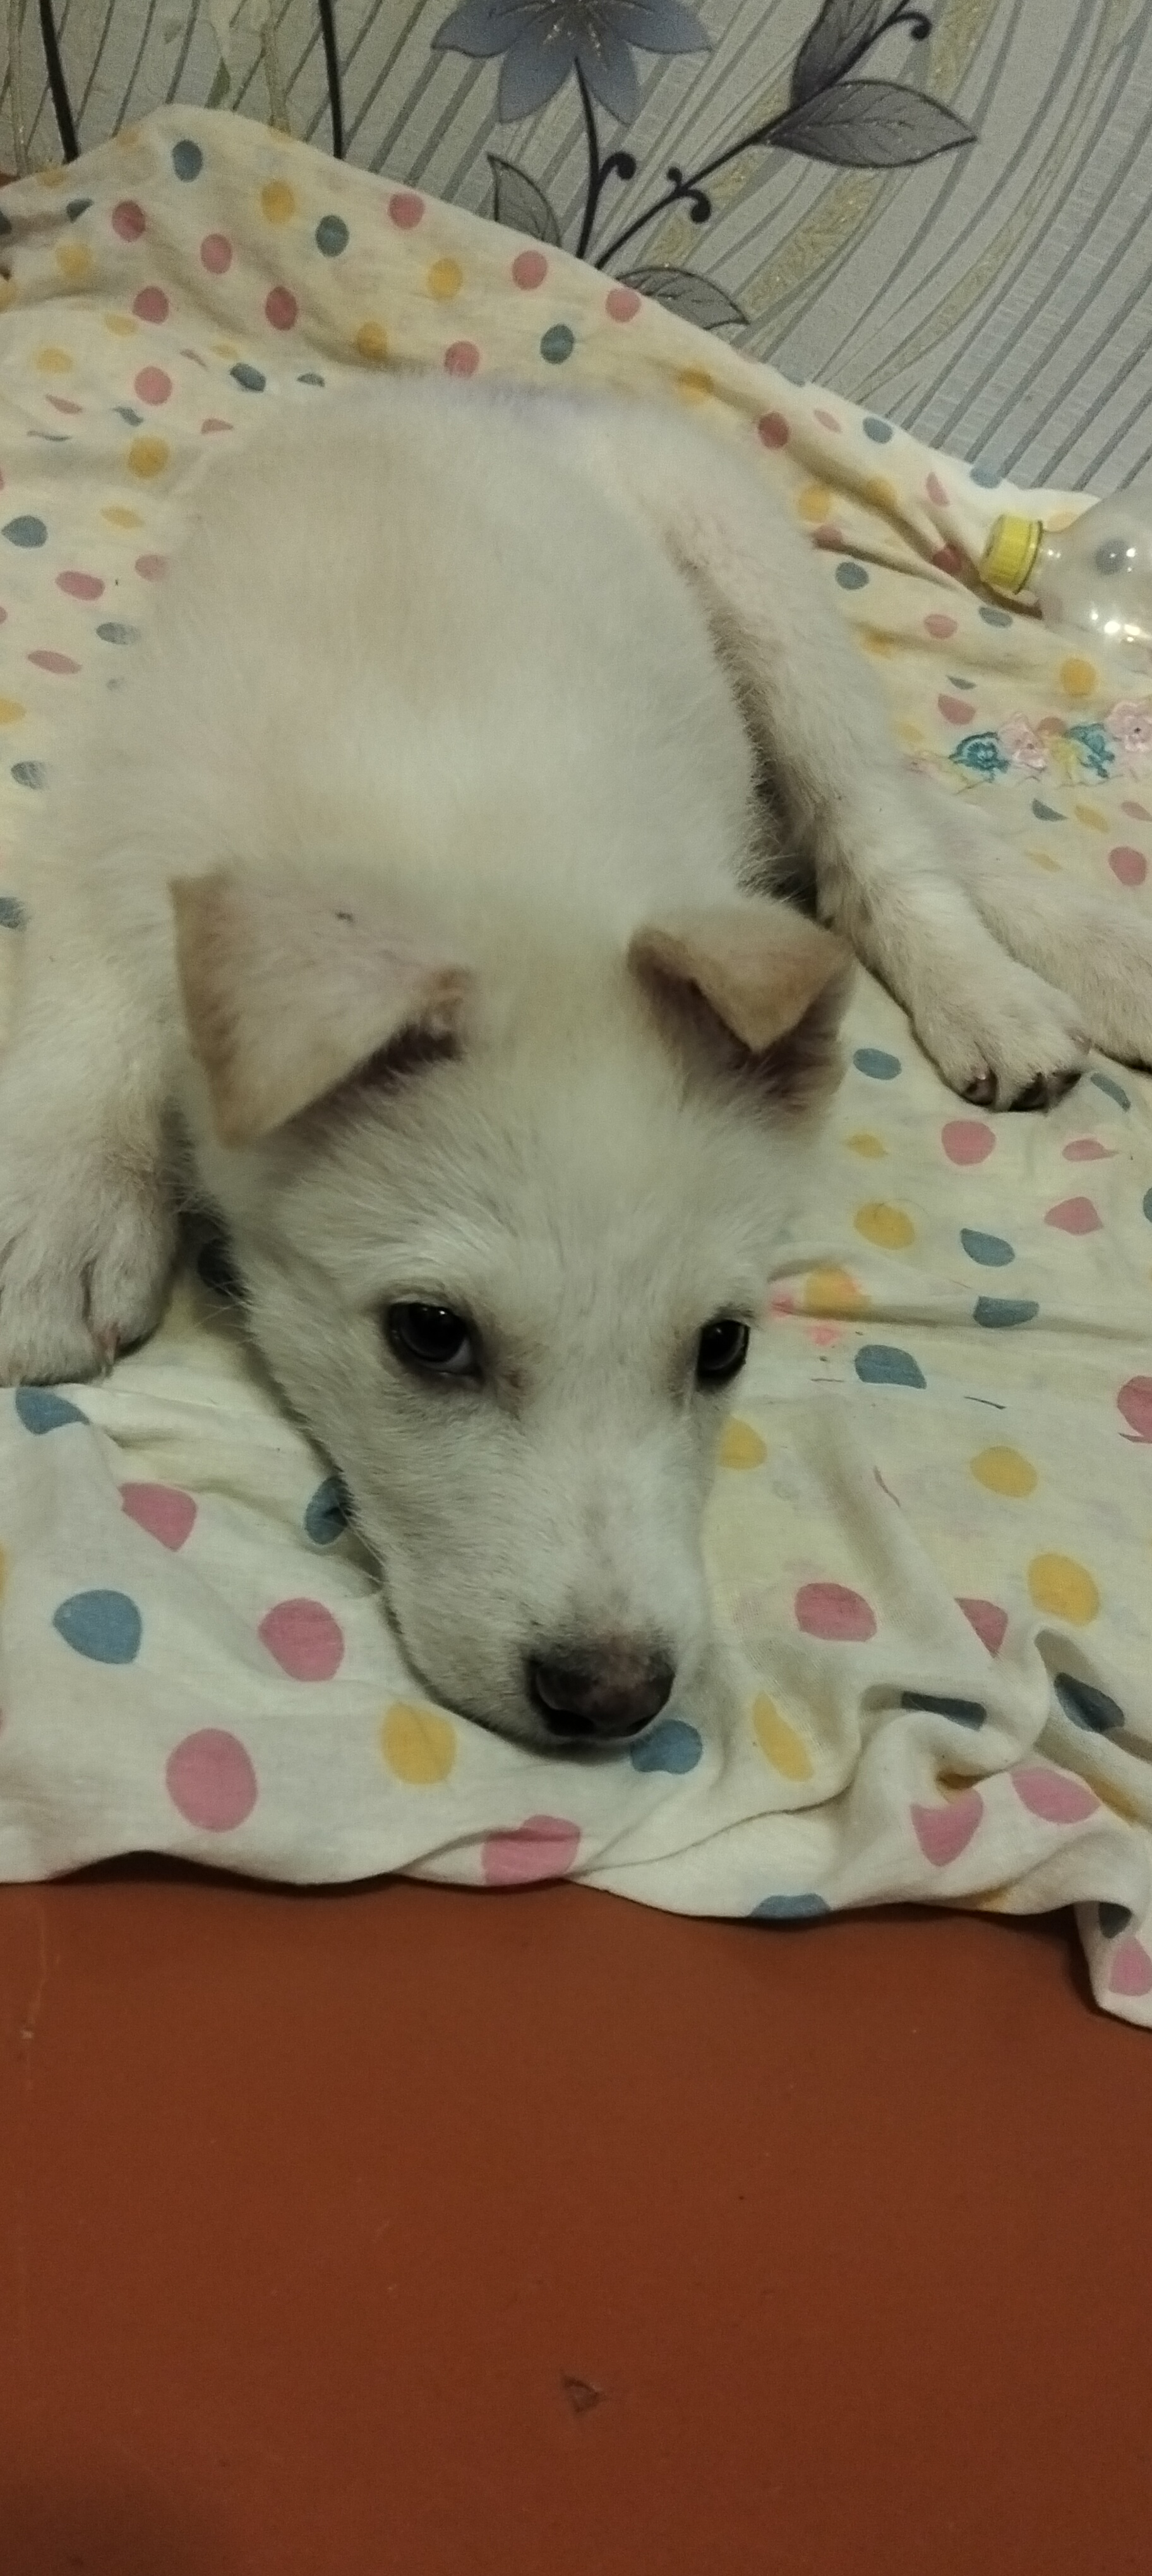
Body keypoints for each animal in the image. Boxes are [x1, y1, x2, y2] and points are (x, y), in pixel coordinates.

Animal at [0, 377, 1148, 1748]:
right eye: (428, 1338)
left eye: (722, 1349)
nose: (613, 1701)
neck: (463, 842)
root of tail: (498, 398)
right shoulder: (122, 800)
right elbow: (94, 988)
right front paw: (61, 1211)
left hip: (759, 586)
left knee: (871, 832)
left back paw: (999, 993)